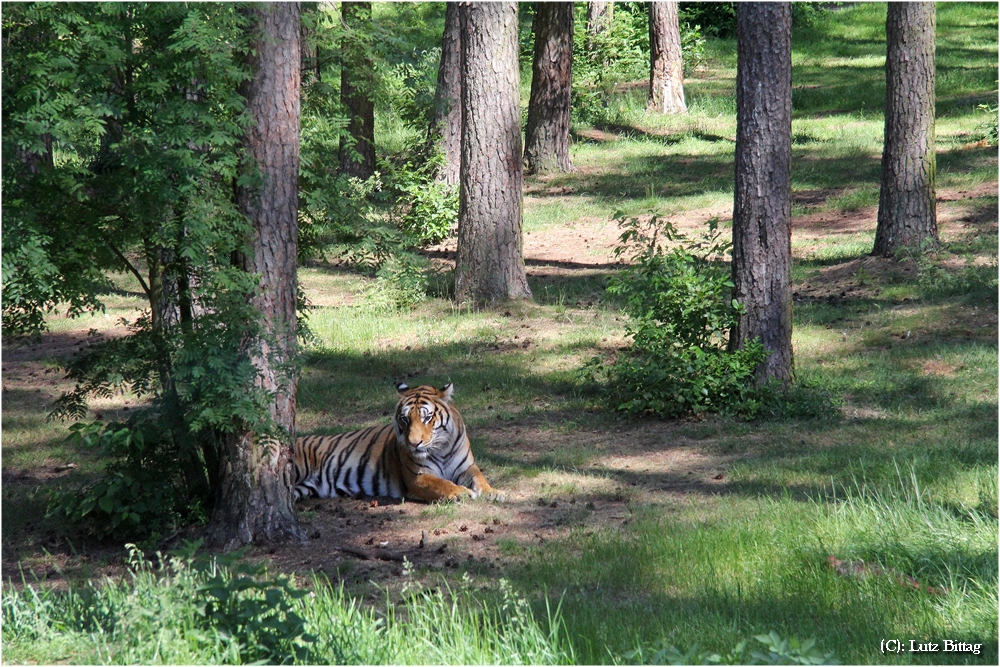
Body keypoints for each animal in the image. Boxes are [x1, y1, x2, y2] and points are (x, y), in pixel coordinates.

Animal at [292, 384, 496, 504]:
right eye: (405, 419)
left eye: (427, 417)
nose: (414, 443)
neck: (441, 448)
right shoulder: (418, 477)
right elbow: (442, 484)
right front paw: (462, 493)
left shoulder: (467, 467)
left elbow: (480, 479)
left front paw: (494, 493)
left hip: (304, 488)